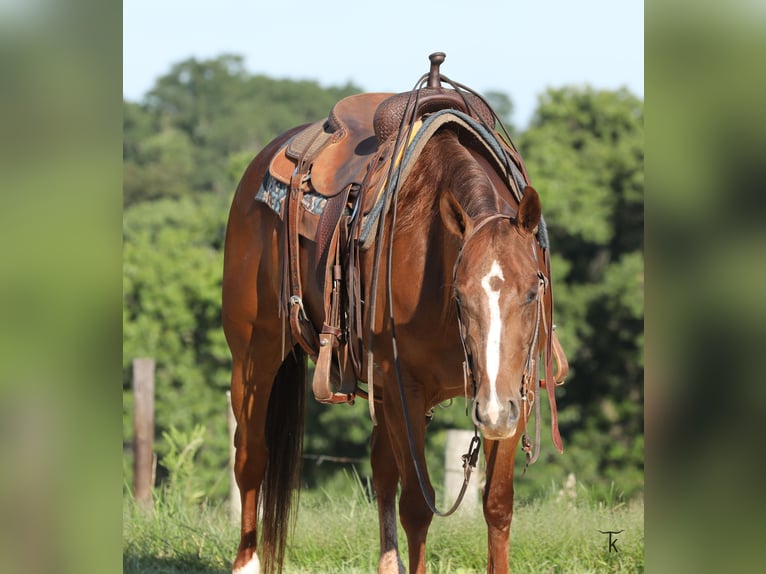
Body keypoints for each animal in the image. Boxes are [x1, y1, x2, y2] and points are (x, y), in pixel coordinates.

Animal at [222, 54, 566, 574]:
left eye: (532, 292)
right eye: (459, 296)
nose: (491, 411)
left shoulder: (515, 390)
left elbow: (497, 505)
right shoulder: (406, 388)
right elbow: (418, 509)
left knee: (381, 469)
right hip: (253, 354)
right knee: (251, 457)